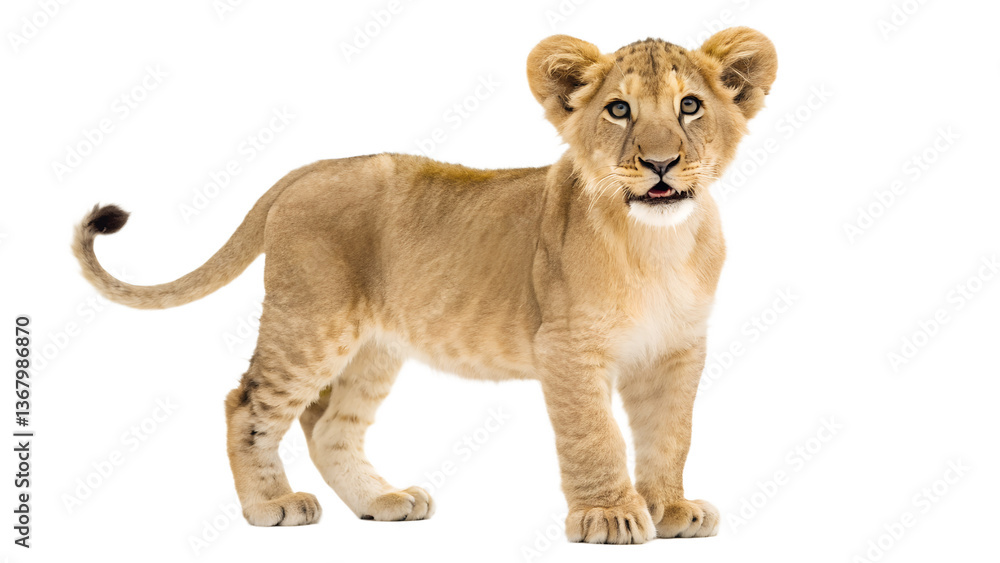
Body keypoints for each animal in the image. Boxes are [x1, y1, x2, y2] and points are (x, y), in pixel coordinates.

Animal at [73, 27, 776, 544]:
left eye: (690, 106)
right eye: (619, 110)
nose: (660, 163)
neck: (659, 244)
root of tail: (308, 168)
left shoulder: (678, 350)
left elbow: (670, 434)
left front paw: (671, 510)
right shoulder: (567, 347)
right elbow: (594, 435)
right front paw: (609, 517)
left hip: (373, 347)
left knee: (329, 425)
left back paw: (384, 500)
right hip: (310, 320)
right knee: (247, 403)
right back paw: (272, 505)